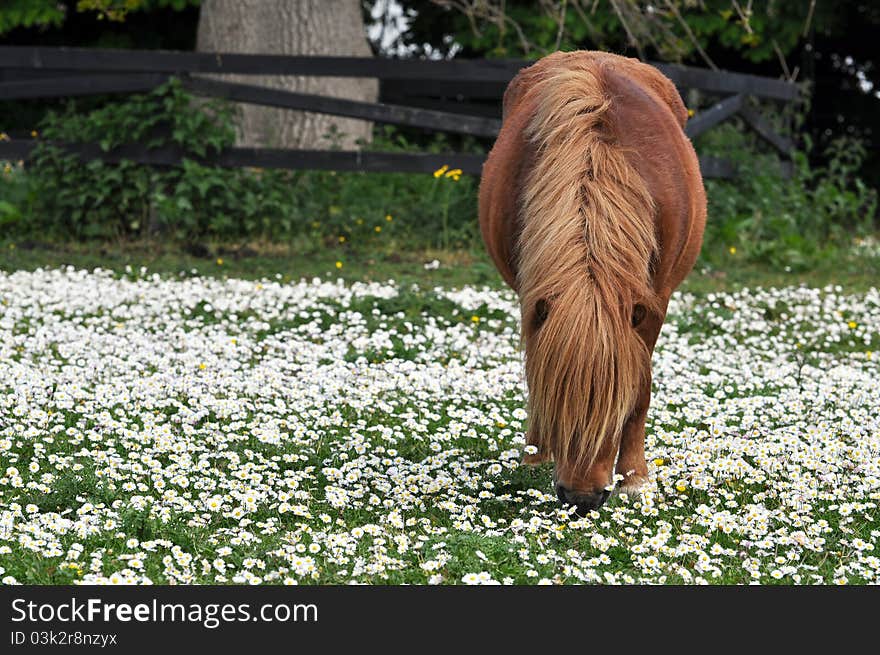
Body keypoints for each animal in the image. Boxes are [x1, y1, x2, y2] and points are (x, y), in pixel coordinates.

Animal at [482, 50, 708, 512]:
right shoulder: (533, 299)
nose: (582, 498)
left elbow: (641, 390)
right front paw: (534, 458)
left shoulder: (651, 305)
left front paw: (635, 478)